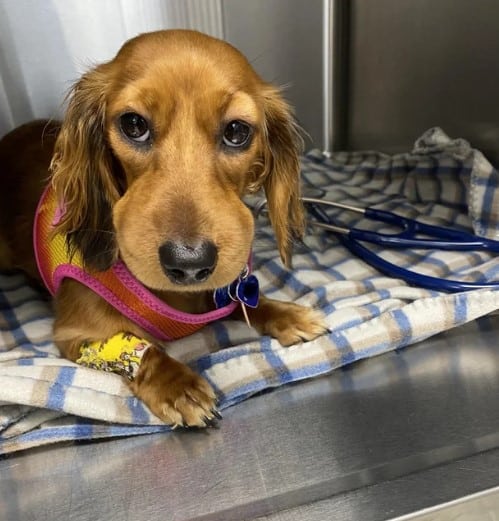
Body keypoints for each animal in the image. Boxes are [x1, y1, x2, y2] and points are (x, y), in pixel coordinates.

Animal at [0, 29, 326, 426]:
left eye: (237, 131)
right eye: (134, 125)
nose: (189, 263)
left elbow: (241, 299)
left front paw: (286, 313)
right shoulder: (78, 333)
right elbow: (142, 350)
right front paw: (177, 385)